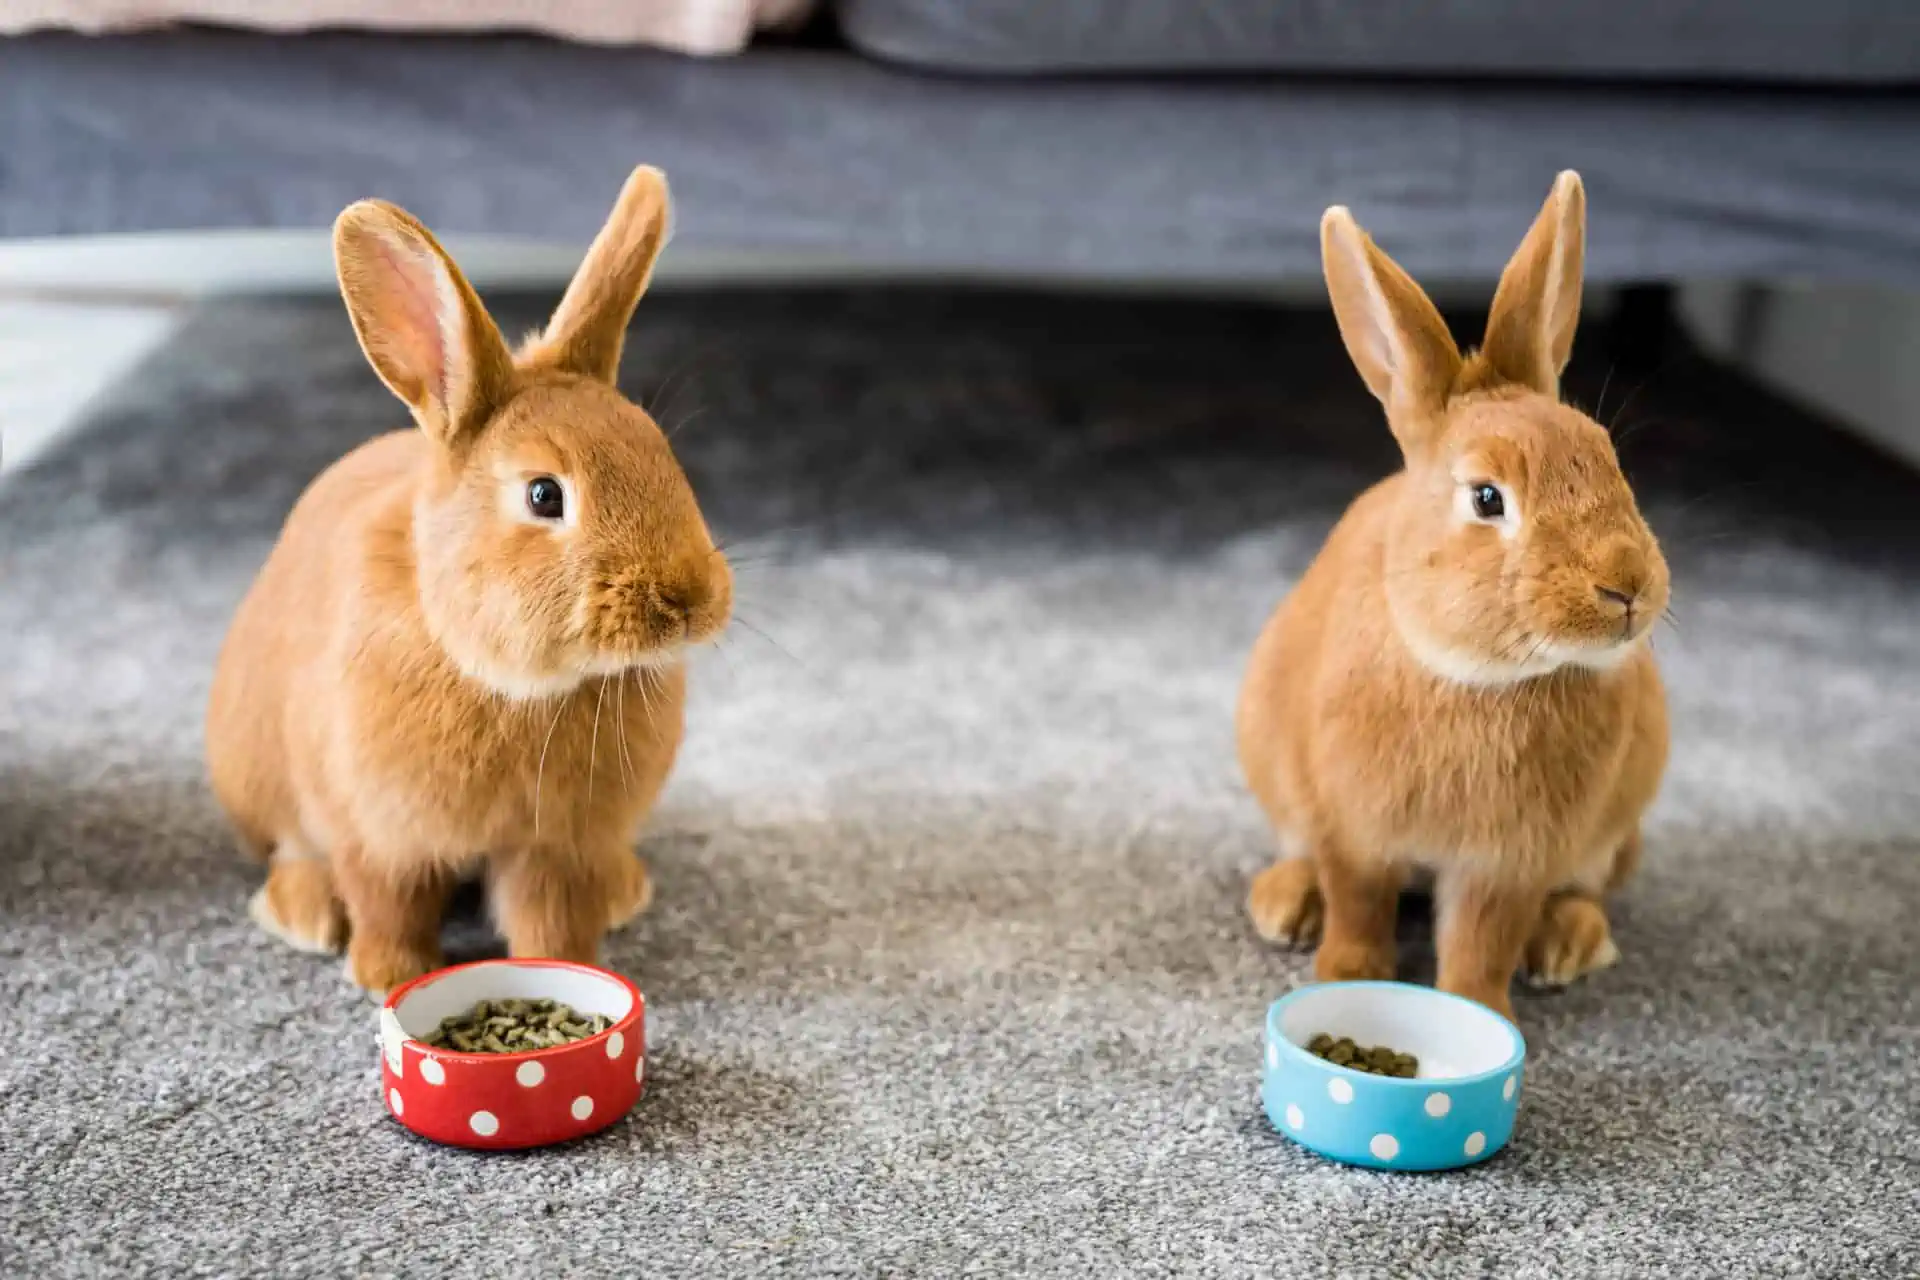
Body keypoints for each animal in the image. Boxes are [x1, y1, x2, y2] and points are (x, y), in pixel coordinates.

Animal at [202, 165, 725, 997]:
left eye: (662, 455)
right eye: (544, 495)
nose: (688, 602)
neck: (513, 684)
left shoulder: (556, 851)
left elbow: (550, 920)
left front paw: (567, 969)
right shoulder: (378, 832)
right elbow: (387, 902)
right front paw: (386, 977)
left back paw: (625, 891)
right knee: (295, 852)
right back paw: (304, 916)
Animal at [1244, 175, 1666, 1028]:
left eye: (1608, 458)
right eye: (1486, 498)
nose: (1628, 587)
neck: (1477, 678)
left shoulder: (1509, 860)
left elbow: (1483, 939)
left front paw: (1481, 1011)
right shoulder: (1352, 829)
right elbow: (1358, 902)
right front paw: (1343, 977)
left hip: (1615, 829)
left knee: (1589, 889)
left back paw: (1568, 944)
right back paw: (1283, 904)